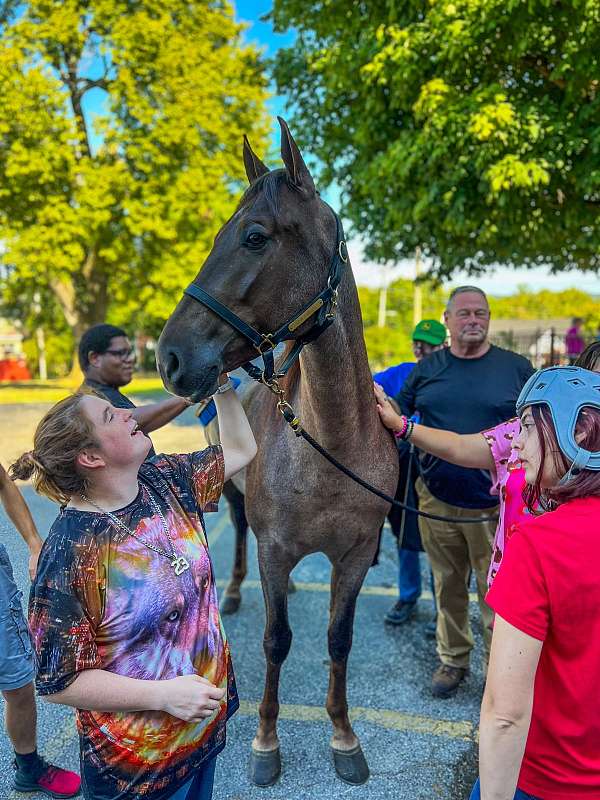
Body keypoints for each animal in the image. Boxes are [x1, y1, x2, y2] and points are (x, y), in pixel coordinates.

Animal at [157, 119, 398, 788]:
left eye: (254, 236)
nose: (170, 357)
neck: (333, 445)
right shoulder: (276, 549)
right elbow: (275, 640)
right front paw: (265, 743)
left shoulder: (354, 554)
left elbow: (338, 640)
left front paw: (344, 735)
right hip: (236, 500)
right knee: (239, 530)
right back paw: (237, 590)